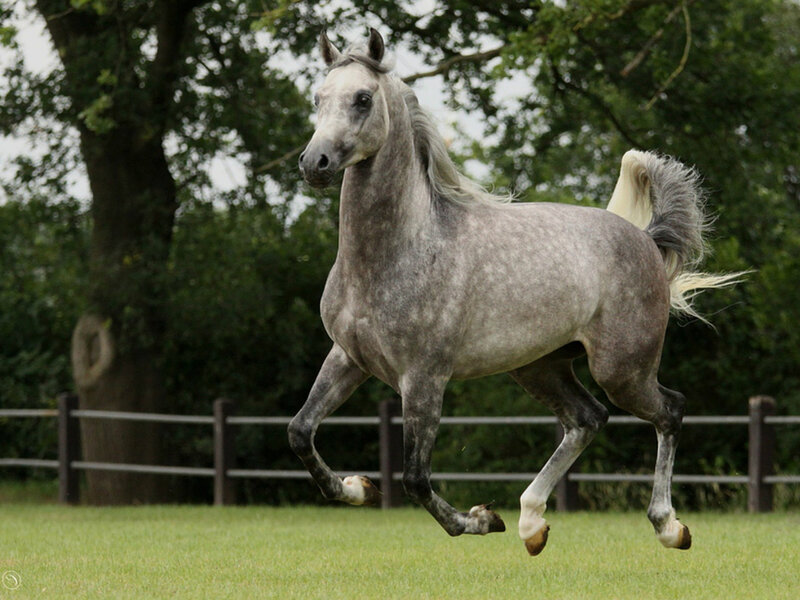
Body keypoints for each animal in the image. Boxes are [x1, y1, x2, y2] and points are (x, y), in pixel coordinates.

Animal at [288, 28, 741, 556]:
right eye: (318, 98)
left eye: (362, 99)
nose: (314, 163)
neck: (398, 250)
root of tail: (646, 239)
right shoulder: (348, 358)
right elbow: (300, 432)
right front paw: (358, 488)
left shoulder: (424, 378)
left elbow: (416, 478)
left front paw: (482, 519)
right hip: (539, 366)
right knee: (587, 419)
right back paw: (532, 523)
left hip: (622, 370)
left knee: (669, 411)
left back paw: (669, 526)